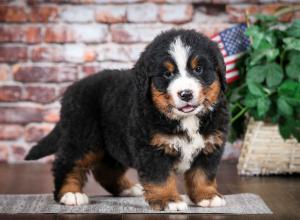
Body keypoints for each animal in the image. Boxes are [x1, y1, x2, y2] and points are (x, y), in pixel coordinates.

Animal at [26, 28, 230, 211]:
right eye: (167, 74)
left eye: (198, 69)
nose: (186, 94)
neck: (185, 119)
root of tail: (71, 89)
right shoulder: (152, 148)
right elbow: (160, 177)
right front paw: (168, 199)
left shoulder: (209, 145)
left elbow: (203, 174)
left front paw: (207, 196)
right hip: (82, 136)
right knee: (67, 163)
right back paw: (71, 194)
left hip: (114, 142)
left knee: (106, 170)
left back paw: (128, 189)